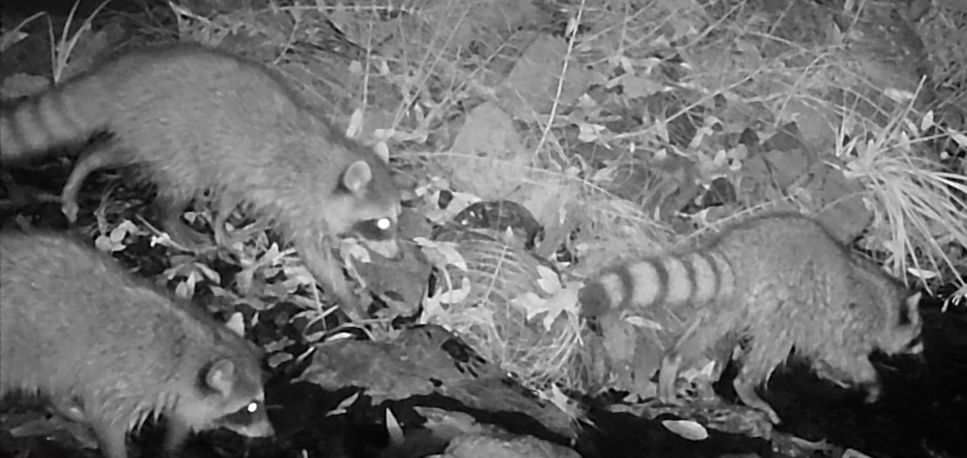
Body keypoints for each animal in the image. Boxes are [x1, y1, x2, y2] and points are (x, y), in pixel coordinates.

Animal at [0, 43, 402, 319]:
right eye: (381, 223)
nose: (398, 255)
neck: (335, 159)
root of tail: (122, 74)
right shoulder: (296, 198)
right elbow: (315, 255)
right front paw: (349, 299)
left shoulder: (244, 171)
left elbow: (230, 196)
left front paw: (222, 225)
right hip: (170, 132)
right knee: (177, 182)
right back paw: (169, 217)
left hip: (148, 131)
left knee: (110, 151)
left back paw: (85, 164)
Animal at [0, 231, 275, 458]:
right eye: (250, 407)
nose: (270, 433)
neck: (189, 350)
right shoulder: (124, 382)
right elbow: (108, 422)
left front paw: (172, 446)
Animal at [579, 212, 923, 423]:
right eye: (917, 336)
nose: (922, 351)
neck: (889, 302)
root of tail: (739, 253)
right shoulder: (855, 323)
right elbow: (844, 354)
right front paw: (870, 378)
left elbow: (823, 355)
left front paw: (832, 373)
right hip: (783, 297)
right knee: (776, 341)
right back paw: (746, 386)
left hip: (735, 298)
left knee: (711, 328)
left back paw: (673, 365)